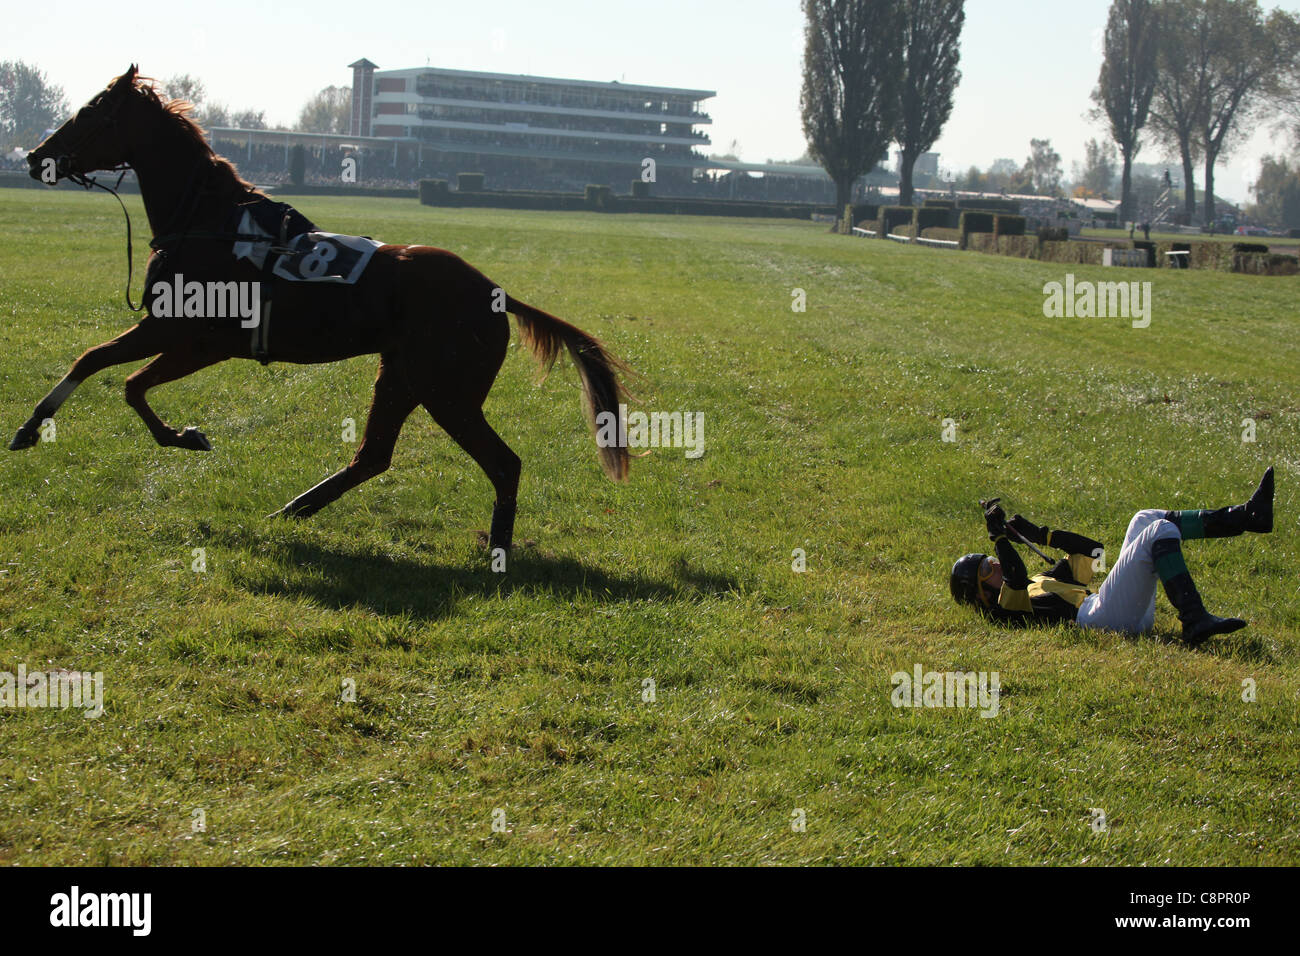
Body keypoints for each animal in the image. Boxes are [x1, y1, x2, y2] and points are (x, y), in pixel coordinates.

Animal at [10, 65, 629, 554]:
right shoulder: (184, 336)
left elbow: (116, 376)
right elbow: (106, 368)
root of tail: (496, 291)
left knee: (502, 463)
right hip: (402, 376)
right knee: (373, 457)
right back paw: (291, 510)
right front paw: (40, 427)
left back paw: (496, 547)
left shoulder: (191, 337)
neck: (209, 221)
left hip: (445, 390)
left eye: (90, 112)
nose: (35, 157)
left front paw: (175, 436)